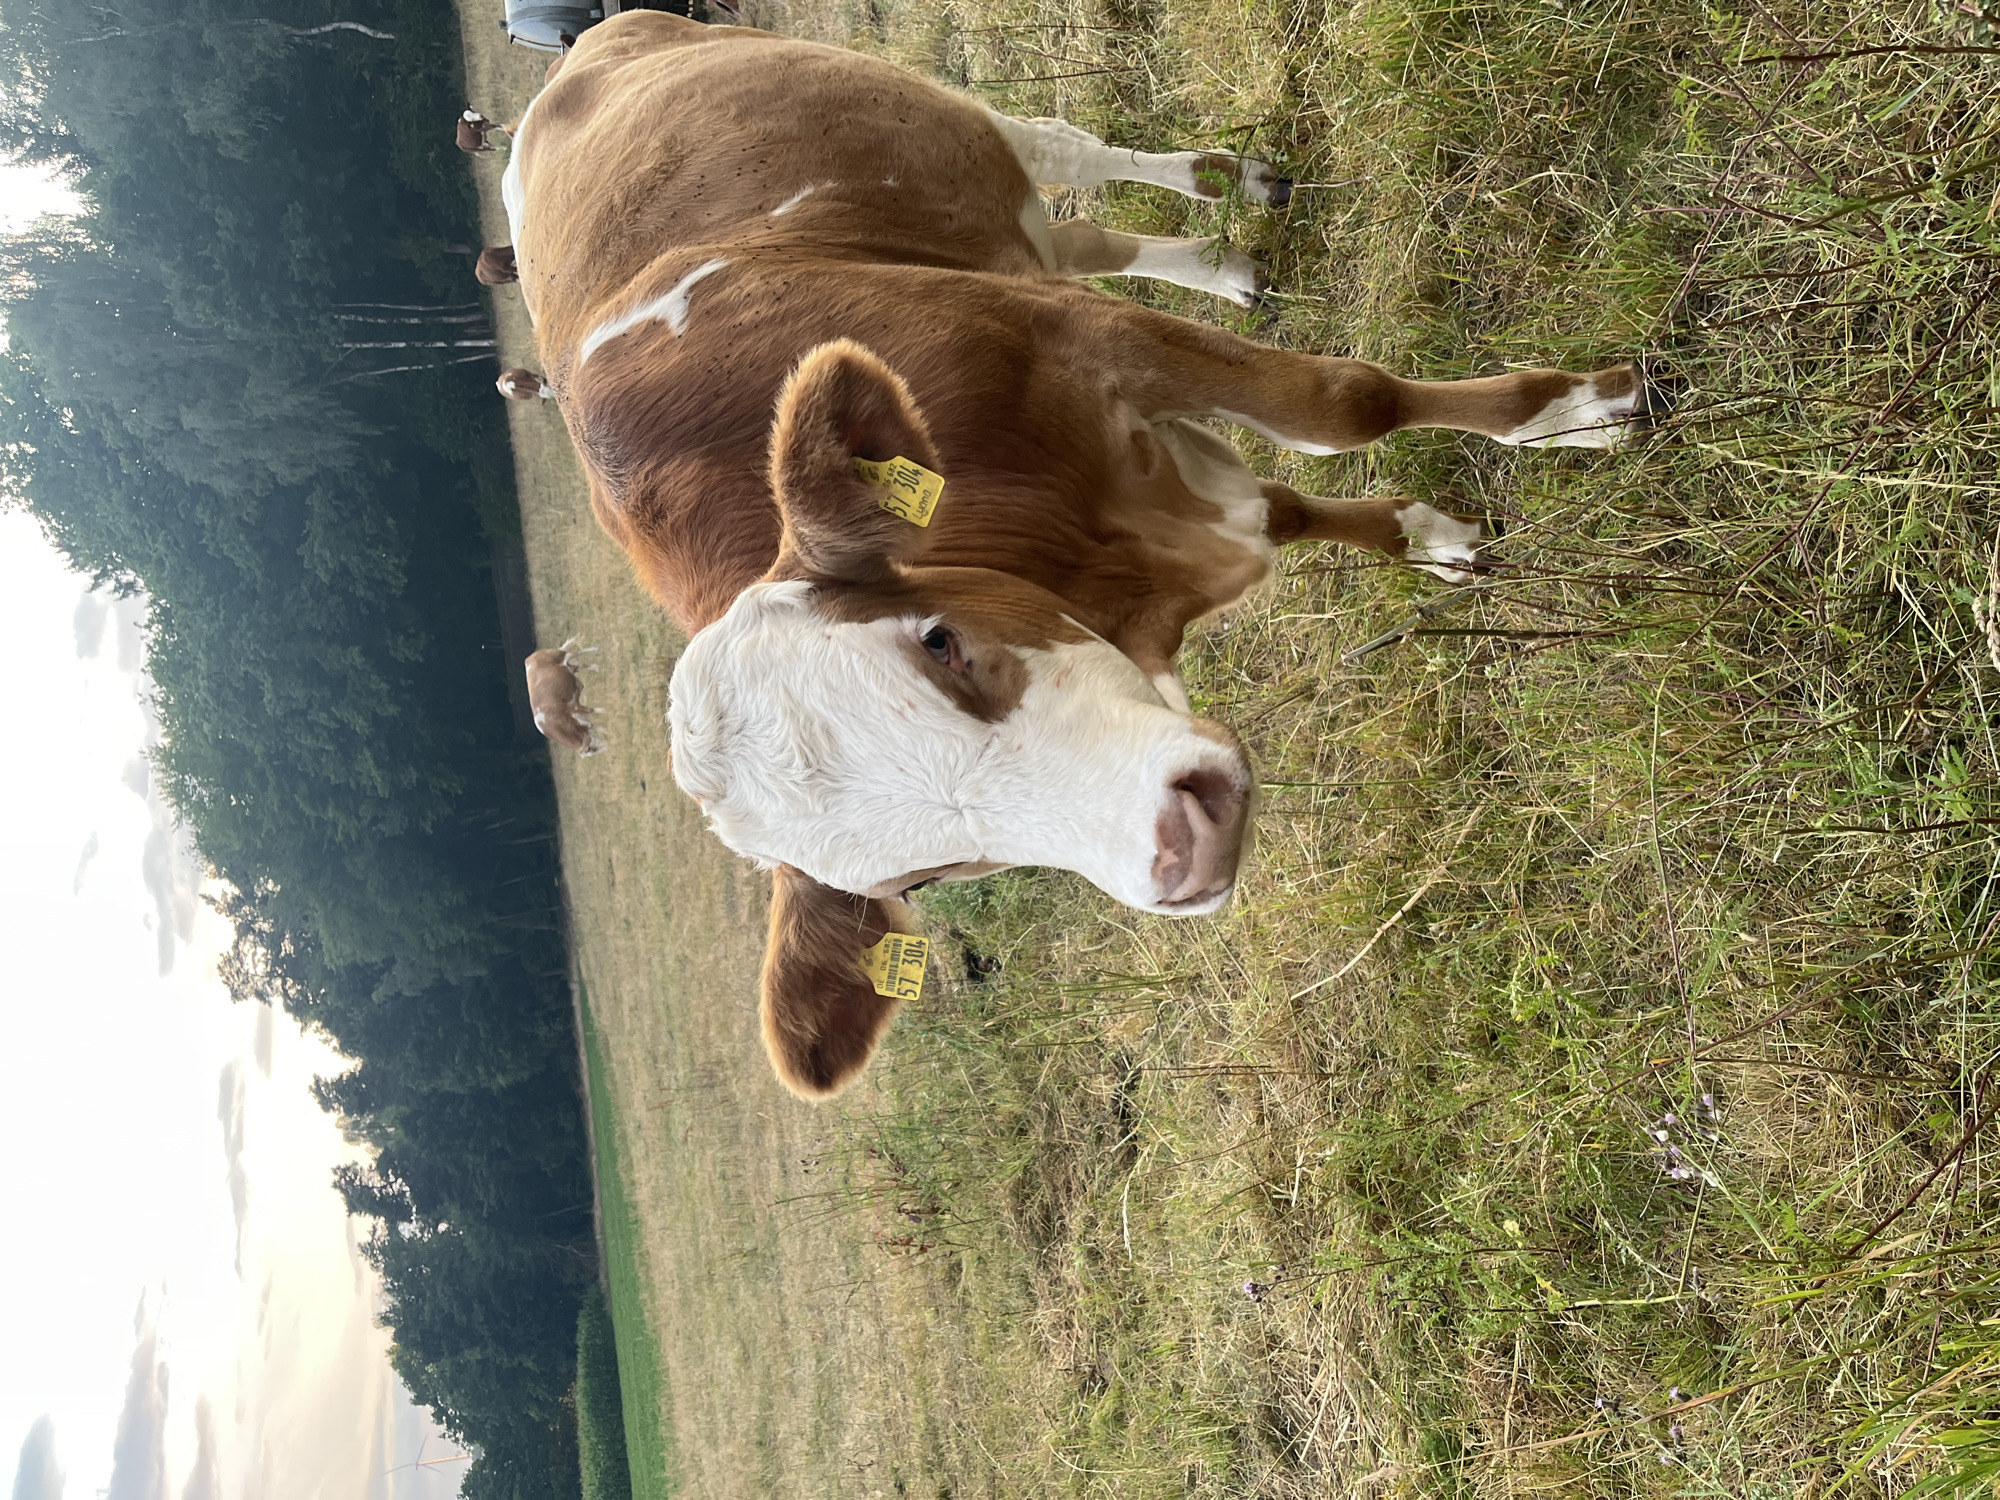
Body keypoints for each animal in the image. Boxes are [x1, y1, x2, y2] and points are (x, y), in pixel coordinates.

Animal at [506, 13, 1648, 1097]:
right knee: (1079, 231)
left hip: (967, 130)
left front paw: (1573, 414)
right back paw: (1222, 262)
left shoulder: (1093, 342)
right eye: (923, 881)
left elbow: (1343, 407)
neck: (1101, 561)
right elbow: (1290, 504)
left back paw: (1228, 181)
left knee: (1072, 156)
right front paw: (1434, 542)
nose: (1182, 849)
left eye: (939, 641)